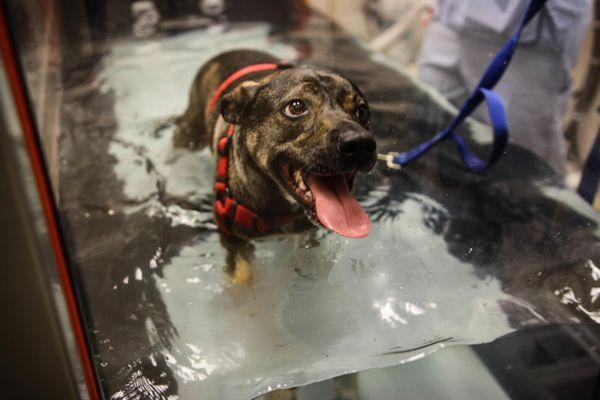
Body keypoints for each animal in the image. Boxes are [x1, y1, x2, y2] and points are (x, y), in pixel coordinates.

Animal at [176, 50, 378, 284]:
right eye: (296, 107)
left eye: (362, 110)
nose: (360, 143)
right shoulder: (232, 239)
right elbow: (242, 276)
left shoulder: (306, 234)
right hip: (189, 131)